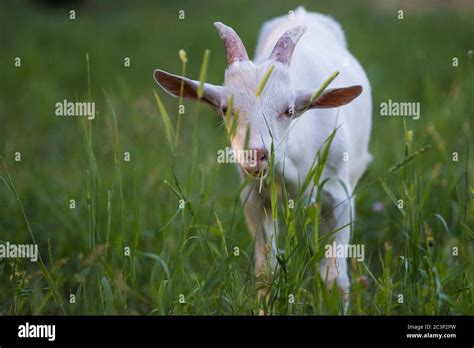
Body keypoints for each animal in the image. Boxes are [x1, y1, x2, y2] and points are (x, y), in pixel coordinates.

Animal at [154, 6, 372, 304]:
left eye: (289, 110)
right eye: (225, 109)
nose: (256, 154)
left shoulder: (340, 195)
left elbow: (334, 278)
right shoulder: (256, 199)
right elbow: (266, 271)